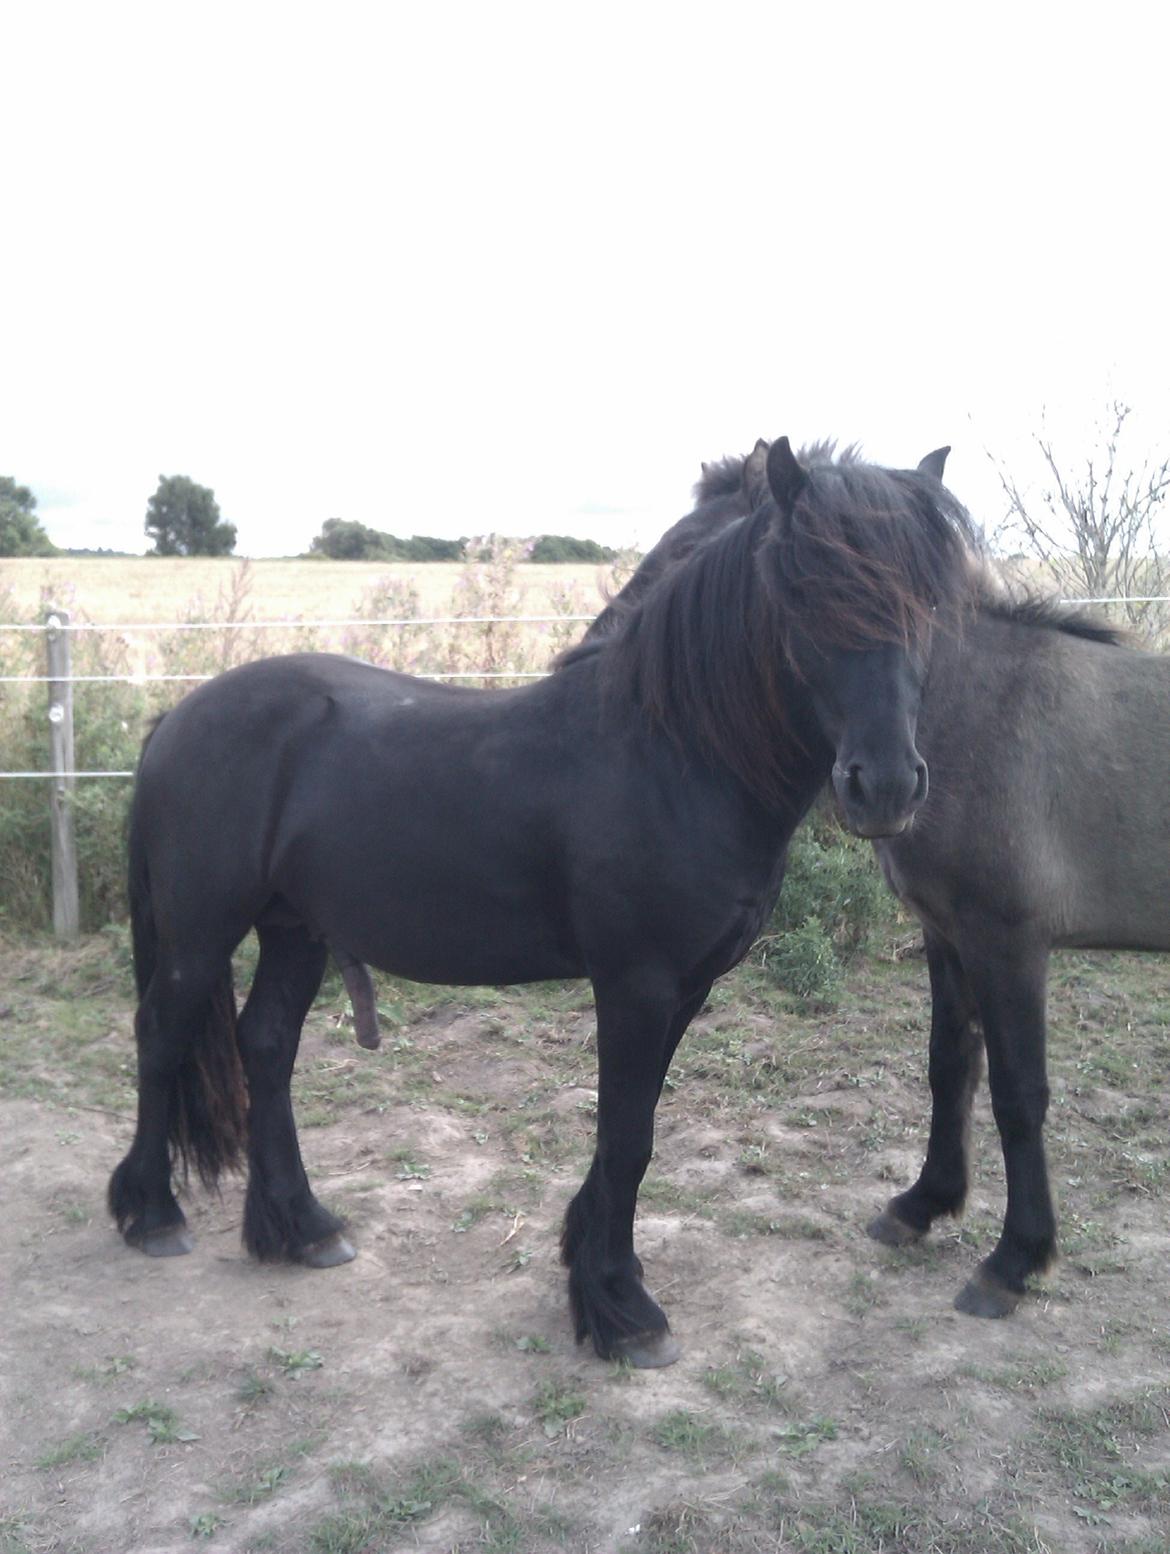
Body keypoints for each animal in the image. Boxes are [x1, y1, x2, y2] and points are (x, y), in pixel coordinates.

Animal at [108, 437, 976, 1366]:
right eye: (807, 590)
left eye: (928, 600)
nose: (886, 786)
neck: (672, 754)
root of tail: (177, 718)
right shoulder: (635, 984)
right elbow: (627, 1137)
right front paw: (623, 1307)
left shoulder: (687, 986)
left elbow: (632, 1130)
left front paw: (589, 1265)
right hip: (201, 930)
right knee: (160, 1036)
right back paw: (152, 1215)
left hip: (295, 928)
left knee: (266, 1045)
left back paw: (302, 1226)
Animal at [605, 438, 1166, 1322]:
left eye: (689, 551)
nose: (888, 786)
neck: (981, 713)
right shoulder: (948, 932)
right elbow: (951, 1067)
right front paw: (924, 1203)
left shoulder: (1011, 942)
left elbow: (1020, 1092)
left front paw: (1016, 1258)